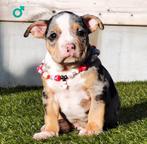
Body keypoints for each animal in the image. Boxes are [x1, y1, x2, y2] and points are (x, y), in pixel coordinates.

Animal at [24, 11, 120, 141]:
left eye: (81, 32)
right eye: (53, 35)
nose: (70, 46)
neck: (67, 70)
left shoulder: (97, 89)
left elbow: (95, 112)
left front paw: (92, 130)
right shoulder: (49, 95)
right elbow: (50, 115)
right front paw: (49, 132)